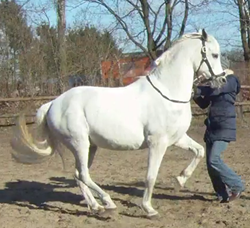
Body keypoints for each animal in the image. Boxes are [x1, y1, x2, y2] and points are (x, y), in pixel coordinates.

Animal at [10, 29, 227, 217]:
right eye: (215, 55)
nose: (222, 80)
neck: (167, 92)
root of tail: (54, 103)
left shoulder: (176, 138)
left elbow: (199, 151)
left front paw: (180, 179)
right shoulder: (157, 143)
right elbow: (151, 176)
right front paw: (149, 209)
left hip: (90, 147)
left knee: (79, 175)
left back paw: (96, 206)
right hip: (79, 143)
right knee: (84, 175)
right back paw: (108, 202)